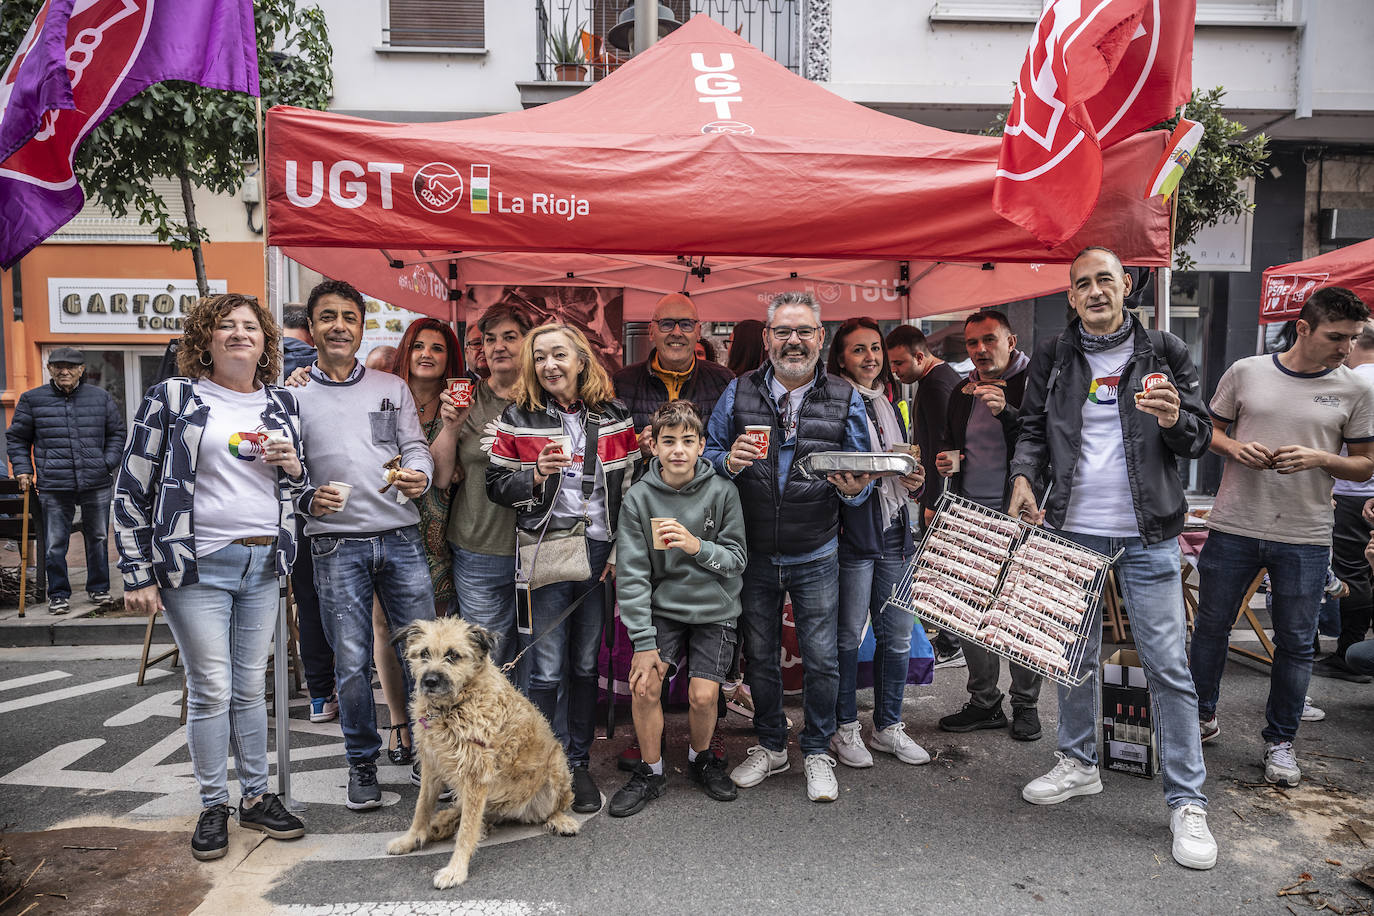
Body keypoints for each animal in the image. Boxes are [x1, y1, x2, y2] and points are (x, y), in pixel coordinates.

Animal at [387, 615, 579, 889]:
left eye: (453, 655)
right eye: (423, 653)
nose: (430, 681)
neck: (453, 707)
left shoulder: (475, 776)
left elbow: (467, 830)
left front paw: (456, 870)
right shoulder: (431, 767)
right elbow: (421, 808)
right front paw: (411, 839)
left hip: (556, 769)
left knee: (552, 808)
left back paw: (560, 820)